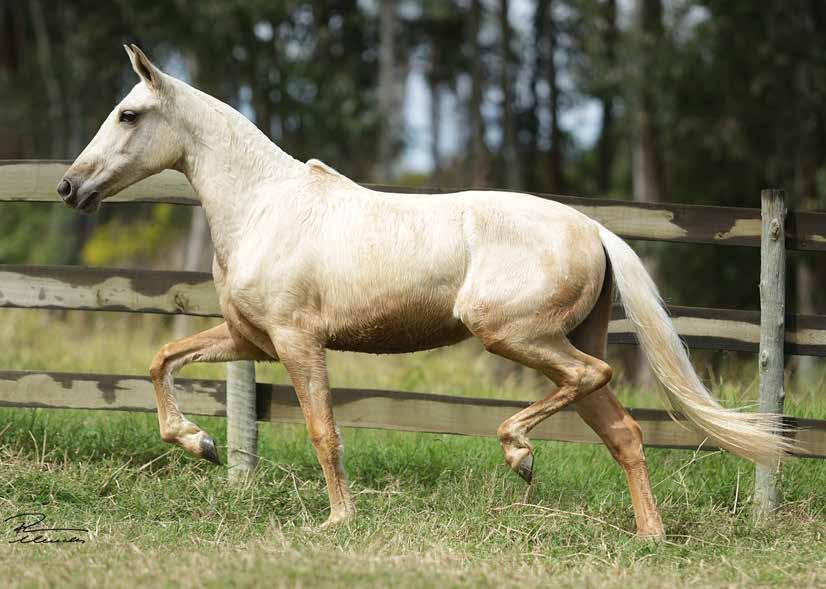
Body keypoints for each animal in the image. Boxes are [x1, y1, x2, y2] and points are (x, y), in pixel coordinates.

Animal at [54, 44, 788, 532]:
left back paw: (520, 453)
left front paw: (338, 522)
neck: (265, 206)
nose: (69, 186)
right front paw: (199, 443)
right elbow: (160, 360)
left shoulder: (297, 342)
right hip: (560, 339)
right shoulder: (250, 340)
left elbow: (323, 431)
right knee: (625, 431)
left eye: (128, 114)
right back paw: (648, 535)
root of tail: (595, 229)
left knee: (592, 378)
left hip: (512, 332)